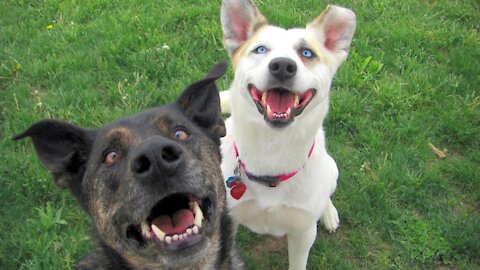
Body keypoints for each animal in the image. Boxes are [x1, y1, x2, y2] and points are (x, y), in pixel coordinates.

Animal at [219, 1, 354, 268]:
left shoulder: (303, 232)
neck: (272, 153)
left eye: (307, 53)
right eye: (260, 49)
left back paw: (328, 213)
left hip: (332, 168)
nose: (282, 66)